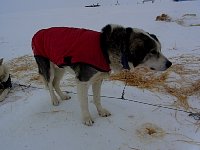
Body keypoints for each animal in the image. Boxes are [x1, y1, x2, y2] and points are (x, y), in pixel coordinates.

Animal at [31, 24, 172, 125]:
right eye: (153, 52)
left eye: (160, 49)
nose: (169, 64)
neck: (105, 49)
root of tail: (37, 33)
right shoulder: (83, 81)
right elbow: (85, 102)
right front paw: (87, 118)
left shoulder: (97, 80)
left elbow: (97, 98)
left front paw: (101, 111)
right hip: (48, 68)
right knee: (50, 84)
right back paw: (55, 100)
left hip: (60, 67)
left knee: (55, 83)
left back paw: (62, 96)